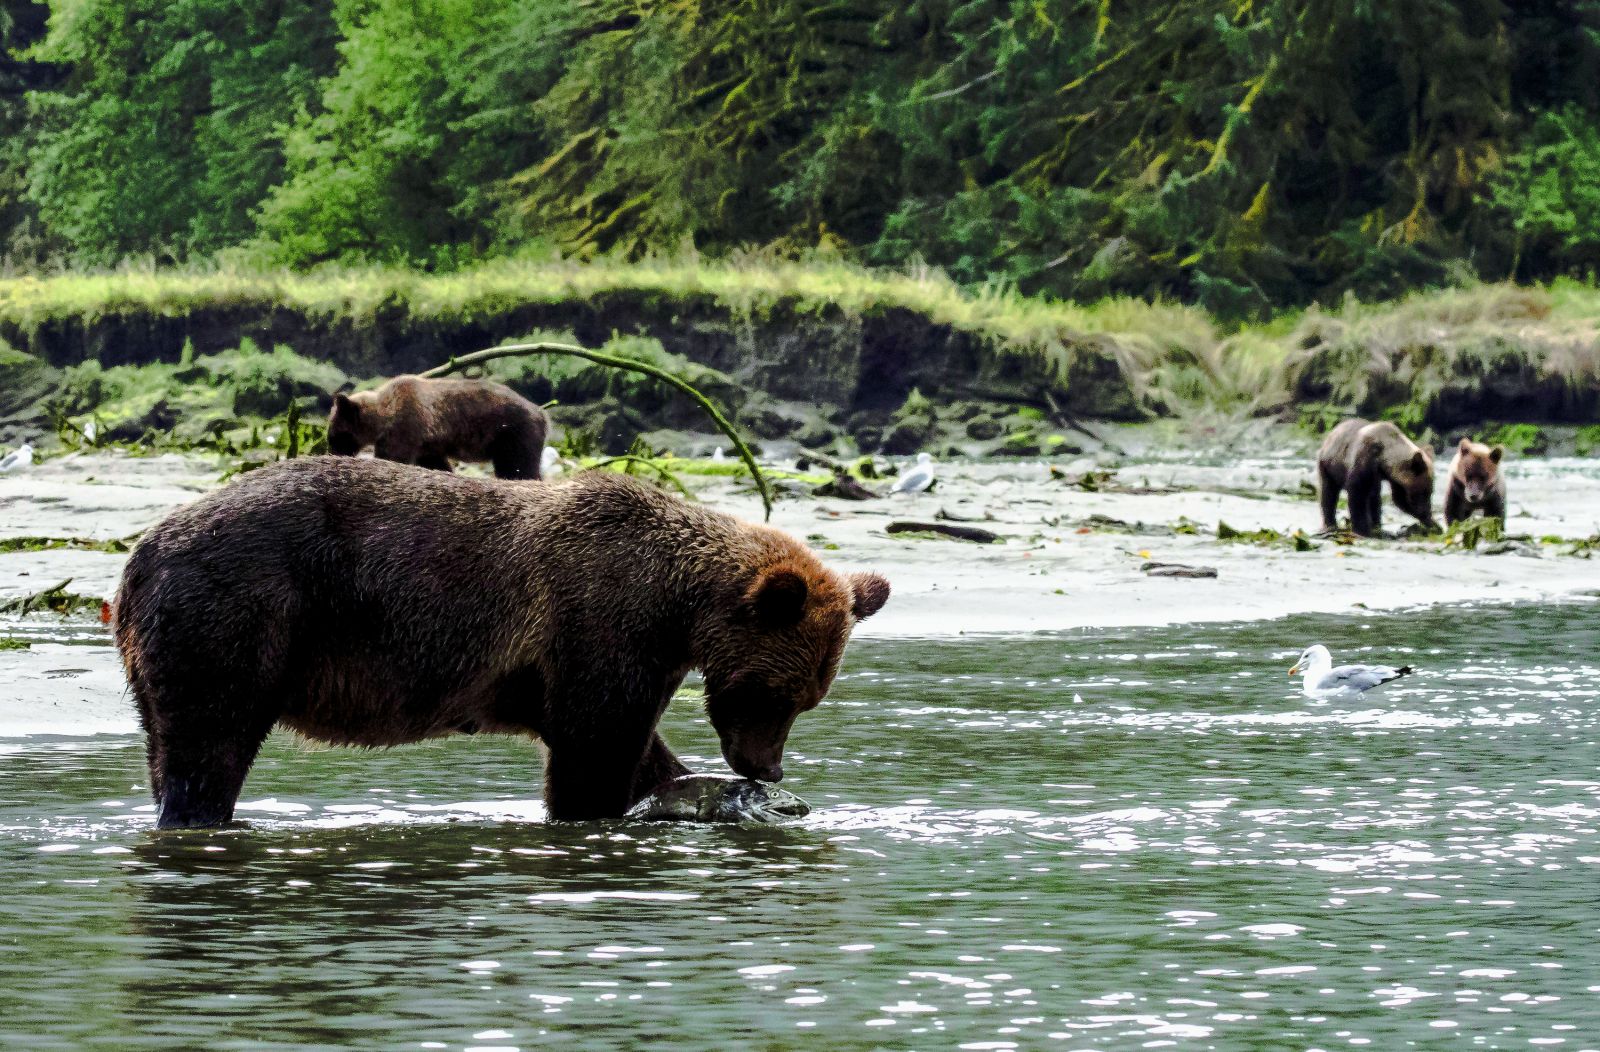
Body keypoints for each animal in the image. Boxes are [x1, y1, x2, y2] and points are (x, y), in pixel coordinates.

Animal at [116, 460, 889, 824]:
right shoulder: (599, 623)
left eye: (808, 700)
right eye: (776, 695)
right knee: (210, 743)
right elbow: (593, 750)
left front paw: (696, 788)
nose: (768, 768)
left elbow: (634, 746)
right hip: (239, 612)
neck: (677, 605)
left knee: (169, 744)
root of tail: (139, 554)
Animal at [326, 372, 550, 479]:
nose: (333, 452)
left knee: (519, 466)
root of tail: (541, 412)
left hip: (512, 433)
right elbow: (436, 463)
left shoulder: (405, 427)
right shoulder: (427, 444)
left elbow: (393, 456)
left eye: (334, 436)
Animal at [1318, 415, 1446, 537]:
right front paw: (1362, 530)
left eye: (1430, 491)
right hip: (1329, 466)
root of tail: (1332, 433)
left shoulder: (1395, 479)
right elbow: (1357, 495)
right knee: (1329, 494)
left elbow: (1400, 500)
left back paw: (1377, 526)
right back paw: (1330, 524)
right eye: (1424, 492)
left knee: (1374, 498)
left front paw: (1434, 525)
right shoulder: (1363, 461)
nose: (1426, 510)